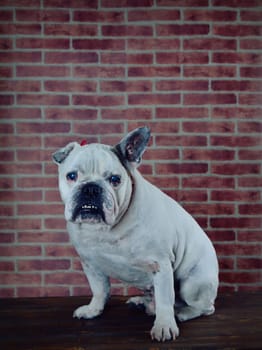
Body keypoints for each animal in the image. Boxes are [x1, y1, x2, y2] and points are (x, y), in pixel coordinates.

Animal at [52, 126, 218, 342]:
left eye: (115, 179)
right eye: (71, 176)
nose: (91, 188)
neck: (104, 230)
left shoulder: (160, 264)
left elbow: (165, 300)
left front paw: (164, 326)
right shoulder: (90, 264)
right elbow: (99, 290)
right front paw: (93, 310)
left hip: (193, 284)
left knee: (203, 307)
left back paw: (182, 313)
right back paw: (142, 303)